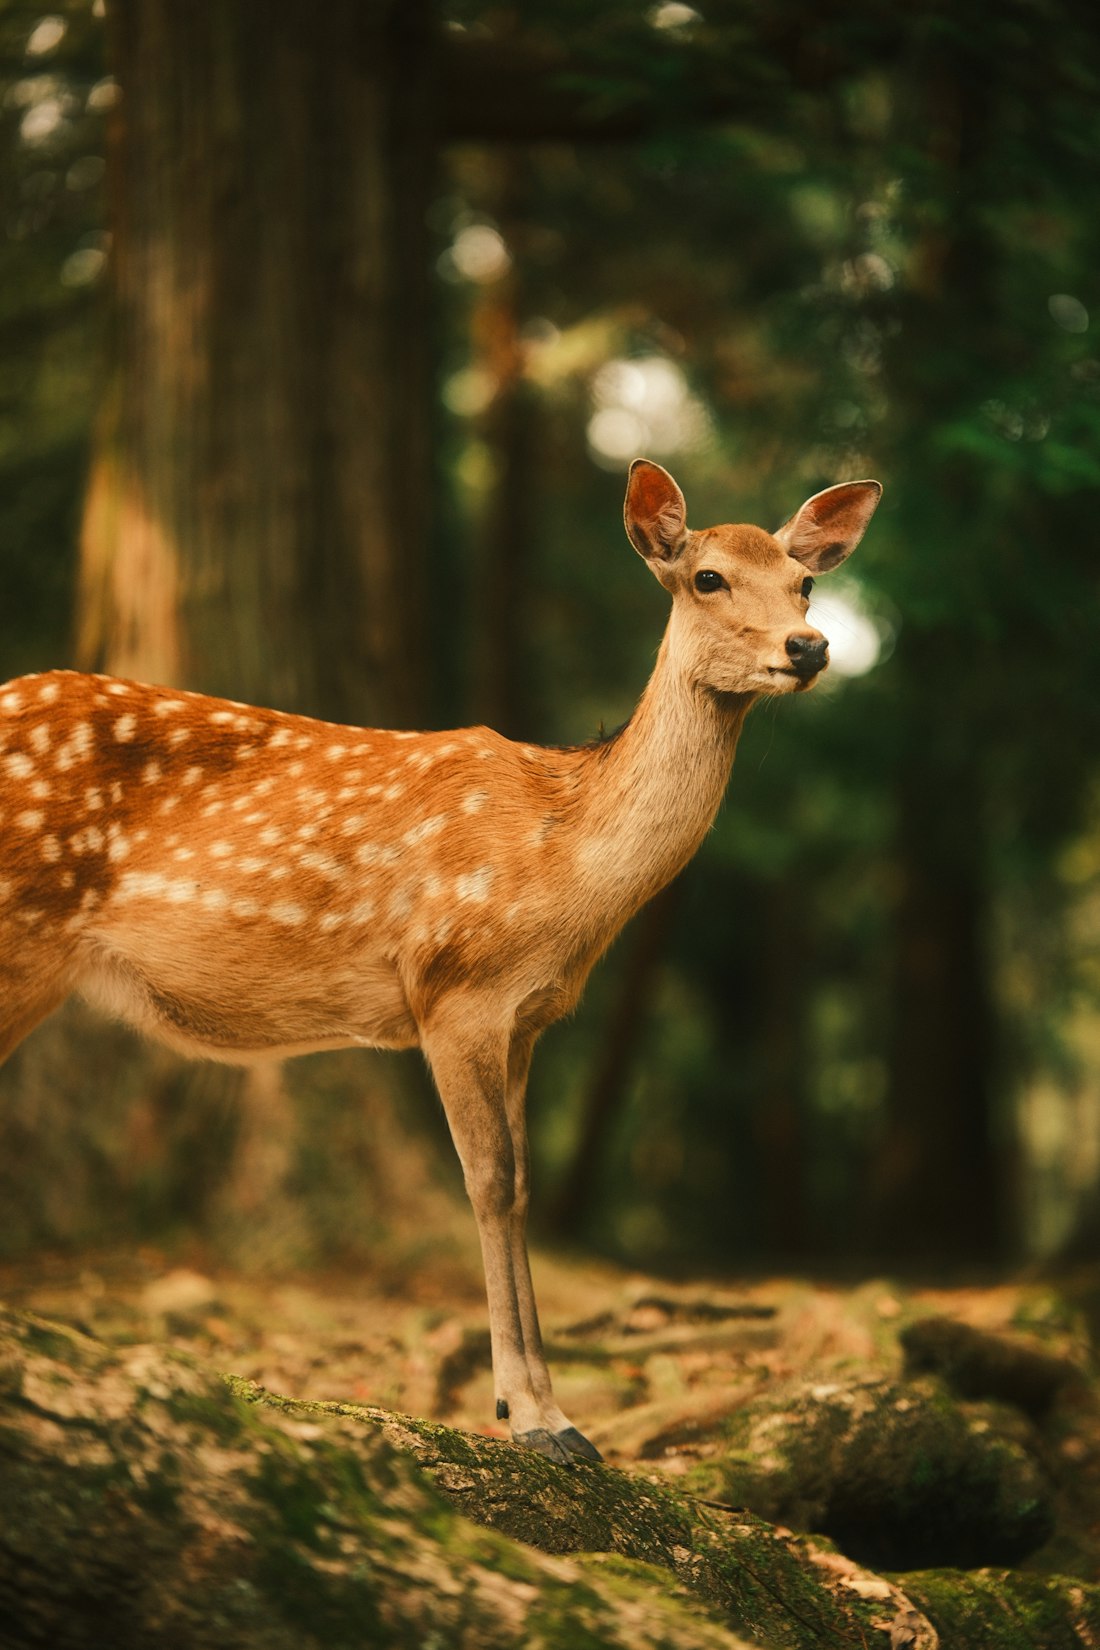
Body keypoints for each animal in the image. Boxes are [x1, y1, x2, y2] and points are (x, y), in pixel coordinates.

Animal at [0, 459, 881, 1464]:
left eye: (805, 581)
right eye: (708, 578)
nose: (809, 646)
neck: (564, 863)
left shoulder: (529, 1018)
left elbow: (526, 1183)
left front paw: (550, 1414)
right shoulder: (454, 990)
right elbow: (489, 1183)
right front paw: (534, 1419)